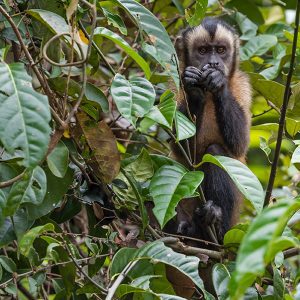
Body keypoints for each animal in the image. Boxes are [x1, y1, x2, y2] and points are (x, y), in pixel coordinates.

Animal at [171, 17, 251, 244]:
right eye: (204, 50)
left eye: (221, 50)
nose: (214, 63)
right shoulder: (175, 87)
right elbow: (180, 146)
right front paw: (194, 89)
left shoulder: (242, 85)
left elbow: (240, 144)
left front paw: (218, 84)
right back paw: (186, 229)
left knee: (215, 152)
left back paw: (214, 221)